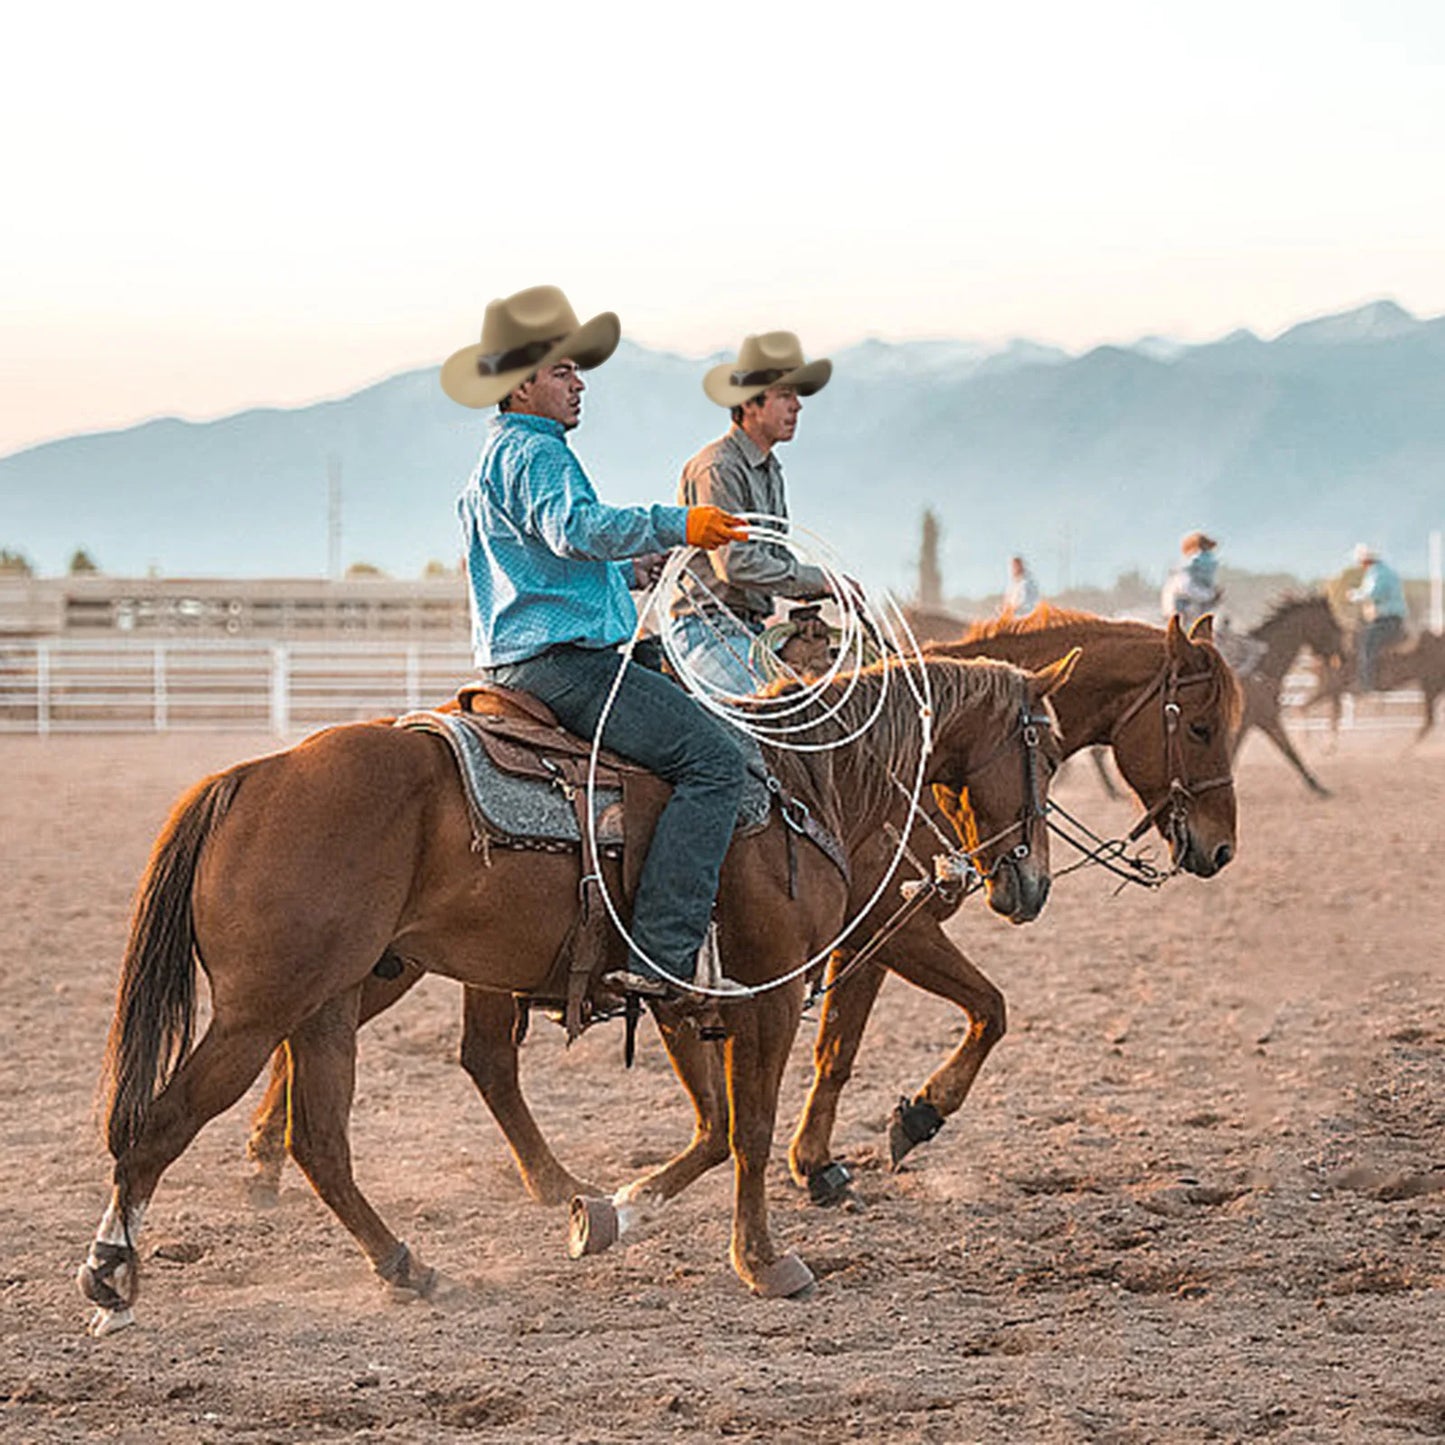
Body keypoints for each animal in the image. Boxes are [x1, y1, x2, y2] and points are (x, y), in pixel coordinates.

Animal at [76, 653, 1075, 1329]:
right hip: (265, 1007)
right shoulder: (767, 987)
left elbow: (717, 1127)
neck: (802, 780)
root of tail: (248, 774)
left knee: (325, 1138)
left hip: (329, 1000)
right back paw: (111, 1276)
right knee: (161, 1123)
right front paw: (764, 1260)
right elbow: (749, 1126)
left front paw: (617, 1211)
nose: (1027, 885)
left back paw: (410, 1260)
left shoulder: (682, 996)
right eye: (1050, 746)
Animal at [242, 604, 1236, 1213]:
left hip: (410, 956)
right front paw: (892, 1128)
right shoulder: (890, 929)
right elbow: (955, 1017)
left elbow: (859, 1039)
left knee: (424, 1049)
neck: (865, 771)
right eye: (1197, 725)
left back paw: (272, 1161)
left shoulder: (860, 939)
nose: (1219, 848)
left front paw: (825, 1156)